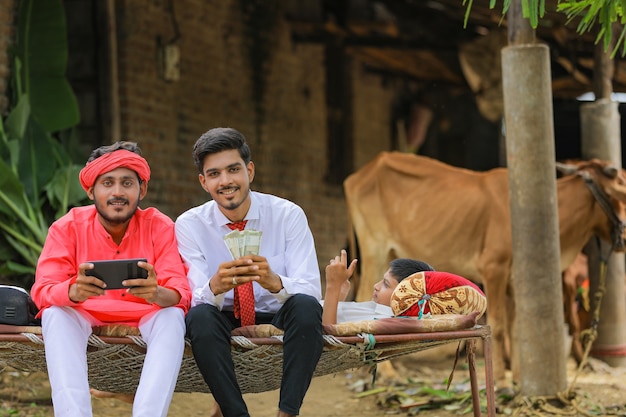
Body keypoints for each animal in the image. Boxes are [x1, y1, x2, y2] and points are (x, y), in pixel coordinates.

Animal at [342, 152, 624, 386]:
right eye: (620, 187)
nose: (623, 236)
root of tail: (360, 174)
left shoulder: (512, 280)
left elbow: (515, 329)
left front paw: (518, 380)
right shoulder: (493, 268)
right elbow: (498, 327)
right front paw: (500, 379)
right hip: (375, 250)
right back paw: (388, 373)